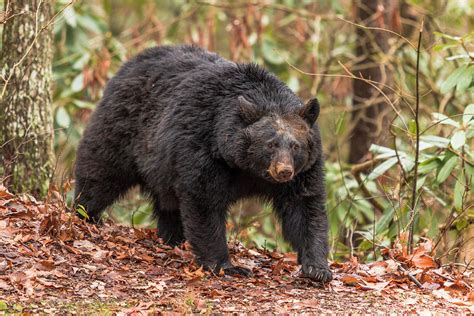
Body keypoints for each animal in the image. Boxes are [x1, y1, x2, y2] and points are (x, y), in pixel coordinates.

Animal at [76, 43, 332, 282]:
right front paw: (226, 265)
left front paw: (317, 268)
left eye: (296, 146)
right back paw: (86, 213)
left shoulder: (306, 170)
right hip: (123, 130)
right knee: (101, 172)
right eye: (270, 144)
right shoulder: (204, 148)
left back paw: (172, 238)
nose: (283, 171)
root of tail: (130, 64)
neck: (247, 167)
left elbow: (304, 207)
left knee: (169, 205)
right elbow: (204, 201)